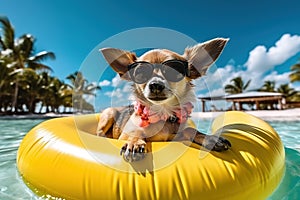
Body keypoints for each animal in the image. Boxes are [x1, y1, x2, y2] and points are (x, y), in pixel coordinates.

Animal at [96, 38, 230, 162]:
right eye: (140, 72)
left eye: (173, 71)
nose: (155, 84)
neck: (161, 112)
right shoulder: (123, 135)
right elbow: (136, 132)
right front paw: (134, 142)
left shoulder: (173, 137)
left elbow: (189, 129)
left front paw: (210, 138)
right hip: (109, 113)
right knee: (100, 133)